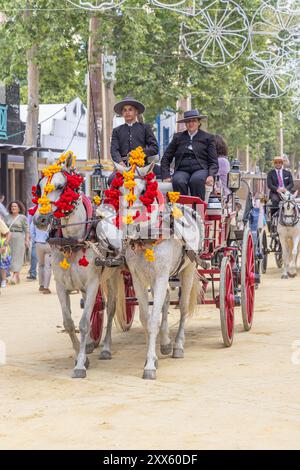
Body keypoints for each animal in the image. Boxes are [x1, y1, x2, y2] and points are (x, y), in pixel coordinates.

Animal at [34, 154, 124, 378]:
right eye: (40, 187)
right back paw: (91, 344)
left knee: (110, 308)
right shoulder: (61, 286)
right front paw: (80, 356)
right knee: (95, 308)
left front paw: (80, 366)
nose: (40, 218)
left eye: (61, 186)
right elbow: (69, 323)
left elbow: (83, 323)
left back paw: (106, 348)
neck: (72, 241)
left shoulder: (92, 283)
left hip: (113, 274)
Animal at [98, 161, 202, 378]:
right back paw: (165, 343)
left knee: (182, 307)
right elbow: (146, 319)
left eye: (144, 190)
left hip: (187, 269)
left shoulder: (161, 276)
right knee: (165, 302)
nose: (129, 225)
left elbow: (154, 319)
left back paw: (177, 346)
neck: (146, 238)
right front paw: (151, 357)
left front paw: (150, 367)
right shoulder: (138, 278)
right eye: (119, 190)